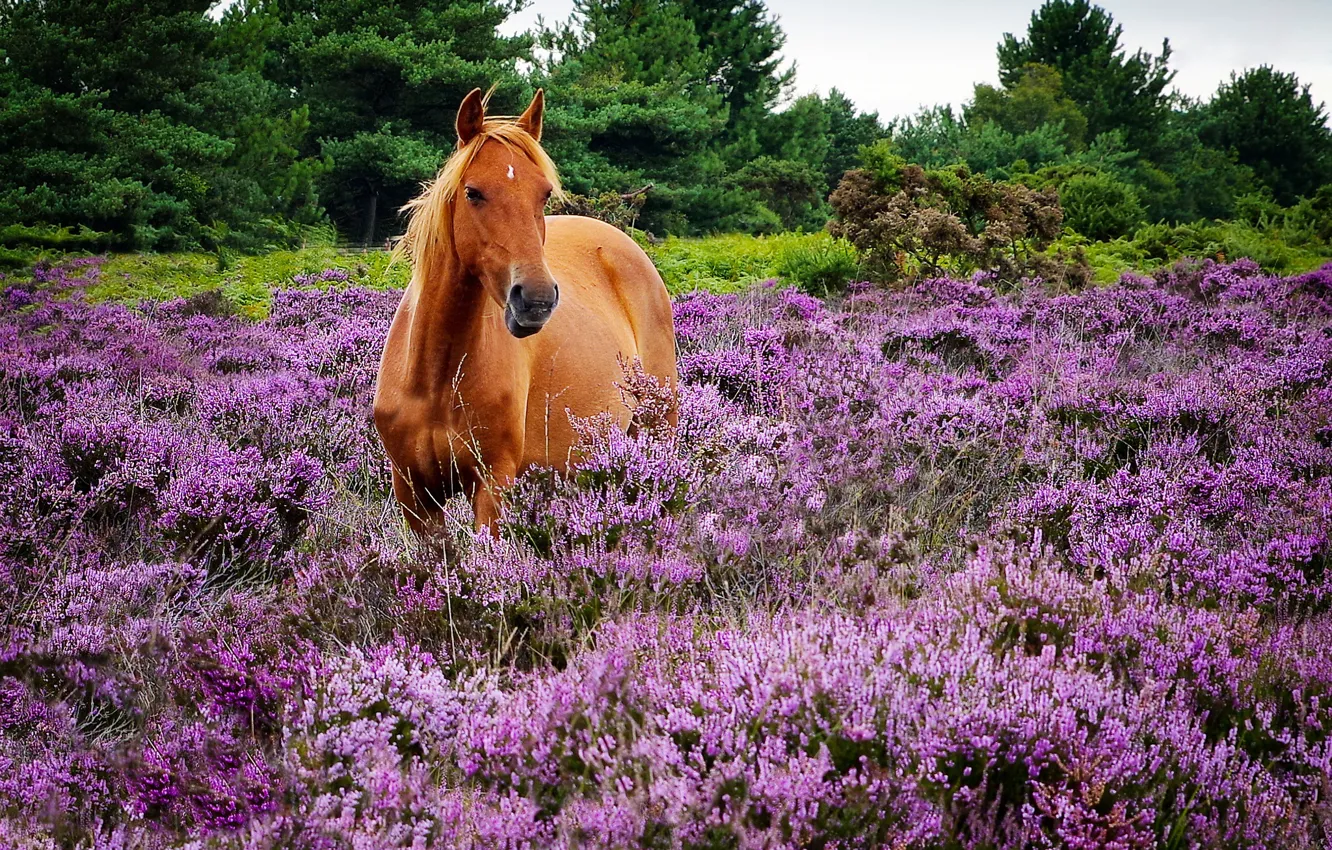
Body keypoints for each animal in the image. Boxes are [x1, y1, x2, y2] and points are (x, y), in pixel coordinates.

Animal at [375, 89, 681, 535]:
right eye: (473, 192)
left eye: (544, 194)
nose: (535, 299)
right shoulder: (414, 495)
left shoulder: (493, 485)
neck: (434, 376)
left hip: (655, 430)